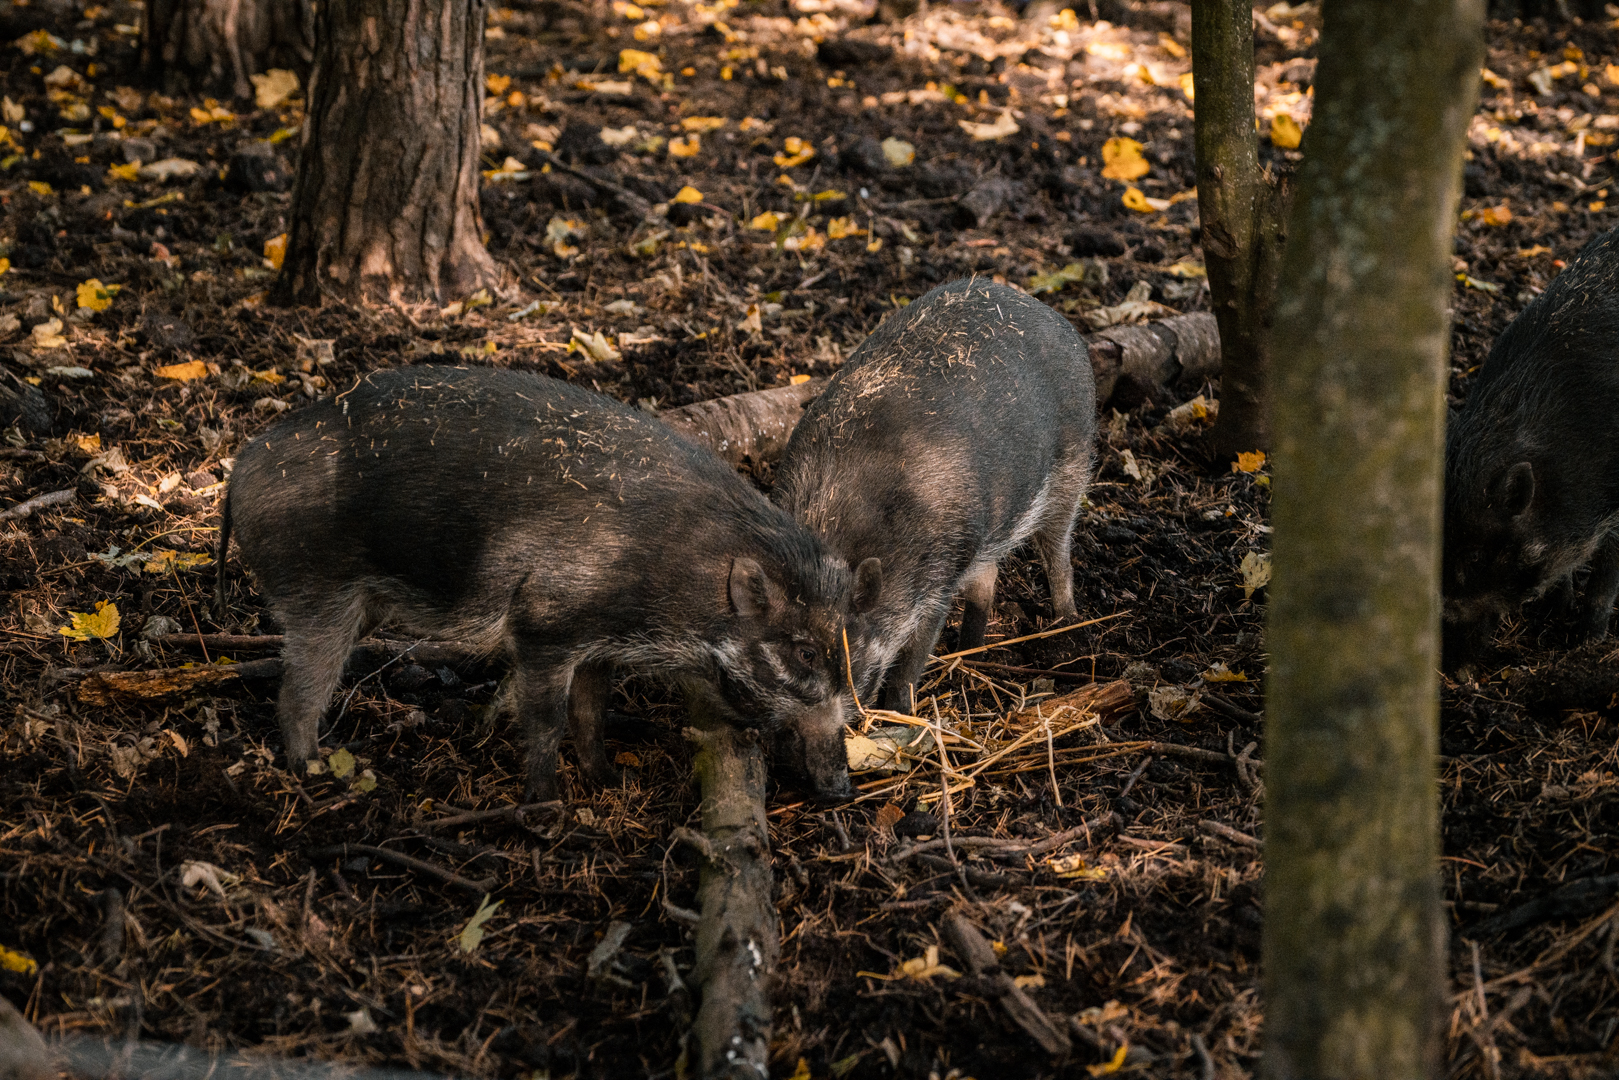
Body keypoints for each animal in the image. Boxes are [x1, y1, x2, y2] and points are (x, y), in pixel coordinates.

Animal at [219, 365, 880, 799]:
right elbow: (546, 721)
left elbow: (591, 716)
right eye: (801, 652)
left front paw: (608, 780)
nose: (842, 788)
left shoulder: (599, 647)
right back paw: (315, 770)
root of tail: (240, 468)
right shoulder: (544, 625)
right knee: (298, 691)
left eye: (844, 650)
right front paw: (546, 805)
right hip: (316, 594)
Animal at [771, 278, 1097, 712]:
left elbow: (911, 662)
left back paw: (1068, 626)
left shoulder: (938, 579)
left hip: (1073, 466)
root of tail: (1048, 312)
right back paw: (968, 654)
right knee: (988, 578)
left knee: (1058, 552)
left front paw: (897, 714)